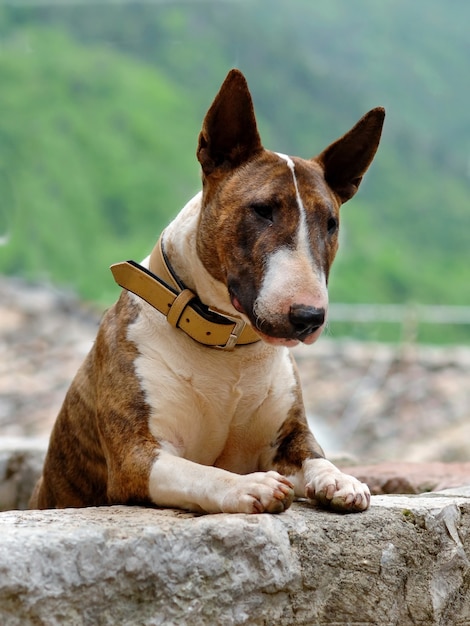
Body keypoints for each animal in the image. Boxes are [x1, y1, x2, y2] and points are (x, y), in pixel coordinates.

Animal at [31, 70, 388, 516]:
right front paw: (249, 485)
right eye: (263, 209)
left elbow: (315, 455)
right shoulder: (136, 457)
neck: (226, 347)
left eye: (331, 223)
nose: (307, 318)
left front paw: (341, 480)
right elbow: (199, 472)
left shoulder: (289, 436)